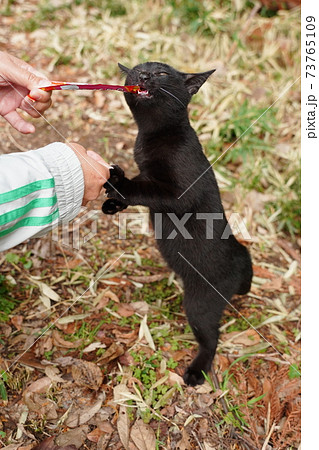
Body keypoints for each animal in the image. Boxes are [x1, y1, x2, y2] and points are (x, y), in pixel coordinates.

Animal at [101, 61, 254, 386]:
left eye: (161, 74)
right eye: (136, 69)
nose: (143, 75)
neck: (152, 135)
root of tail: (241, 263)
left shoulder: (179, 193)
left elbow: (145, 189)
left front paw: (118, 183)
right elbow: (144, 187)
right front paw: (113, 203)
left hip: (199, 304)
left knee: (212, 339)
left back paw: (196, 372)